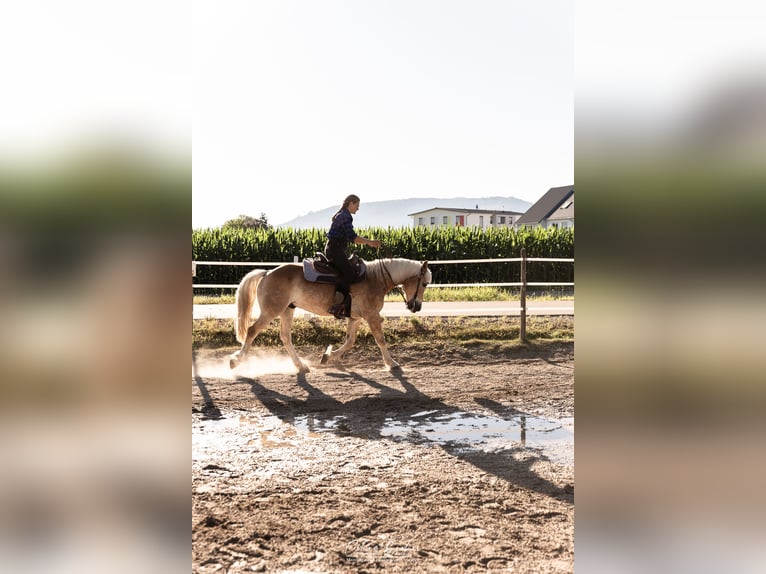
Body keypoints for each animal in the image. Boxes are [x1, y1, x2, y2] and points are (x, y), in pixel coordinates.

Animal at [229, 258, 431, 373]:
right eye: (424, 284)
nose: (417, 306)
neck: (376, 279)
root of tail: (267, 272)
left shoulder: (355, 318)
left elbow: (350, 341)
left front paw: (328, 356)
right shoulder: (371, 315)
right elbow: (380, 340)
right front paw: (391, 363)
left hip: (287, 310)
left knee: (285, 337)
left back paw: (301, 366)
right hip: (272, 311)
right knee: (252, 330)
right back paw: (236, 361)